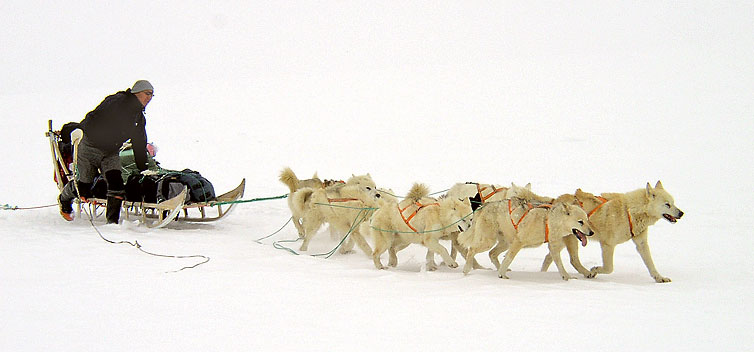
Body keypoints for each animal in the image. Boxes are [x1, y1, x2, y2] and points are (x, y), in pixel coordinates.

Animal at [540, 182, 680, 284]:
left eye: (673, 203)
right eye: (667, 204)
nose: (681, 213)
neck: (629, 211)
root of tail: (555, 200)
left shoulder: (641, 244)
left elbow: (651, 264)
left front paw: (659, 278)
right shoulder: (607, 245)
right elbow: (609, 268)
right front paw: (595, 269)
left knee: (549, 257)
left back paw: (544, 273)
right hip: (573, 239)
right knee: (572, 260)